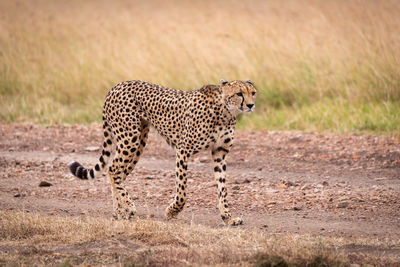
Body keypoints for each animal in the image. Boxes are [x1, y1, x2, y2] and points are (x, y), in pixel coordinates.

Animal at [68, 79, 256, 226]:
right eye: (239, 93)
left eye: (253, 93)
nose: (250, 105)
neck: (226, 112)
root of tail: (116, 86)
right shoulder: (183, 150)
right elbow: (182, 192)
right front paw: (171, 212)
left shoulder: (219, 153)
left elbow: (223, 189)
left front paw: (228, 218)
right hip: (130, 138)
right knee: (113, 169)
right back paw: (128, 207)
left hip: (139, 142)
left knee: (118, 173)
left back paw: (119, 213)